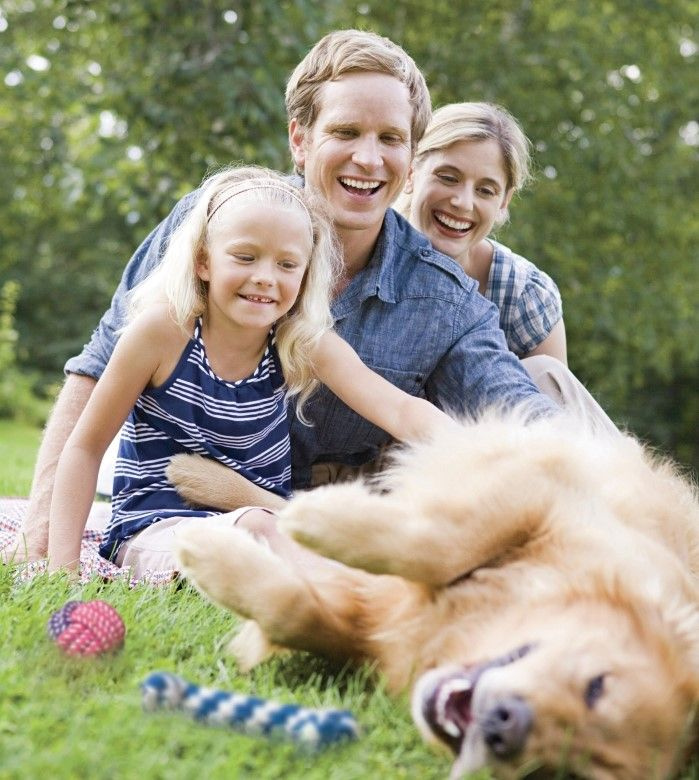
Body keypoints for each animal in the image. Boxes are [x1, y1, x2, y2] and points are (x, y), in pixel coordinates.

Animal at [174, 412, 699, 776]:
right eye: (597, 686)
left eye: (561, 772)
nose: (506, 727)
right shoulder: (547, 487)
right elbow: (439, 543)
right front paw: (319, 518)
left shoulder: (374, 632)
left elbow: (296, 611)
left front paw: (216, 555)